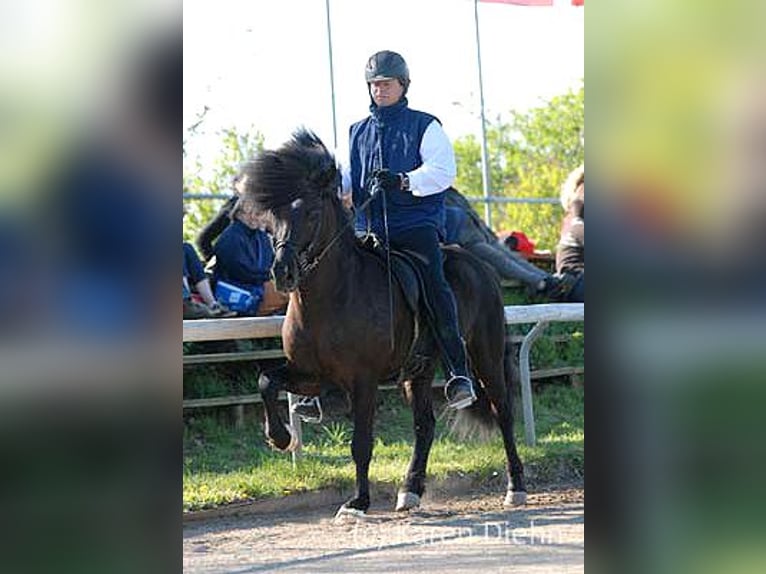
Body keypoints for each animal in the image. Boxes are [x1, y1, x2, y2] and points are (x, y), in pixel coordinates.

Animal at [246, 129, 528, 516]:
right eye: (273, 216)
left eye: (313, 212)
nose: (282, 272)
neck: (333, 296)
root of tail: (478, 264)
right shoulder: (309, 375)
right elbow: (265, 380)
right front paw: (280, 436)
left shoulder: (362, 380)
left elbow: (361, 442)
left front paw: (358, 502)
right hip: (417, 371)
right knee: (425, 426)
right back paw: (410, 490)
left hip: (485, 355)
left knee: (503, 413)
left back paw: (516, 486)